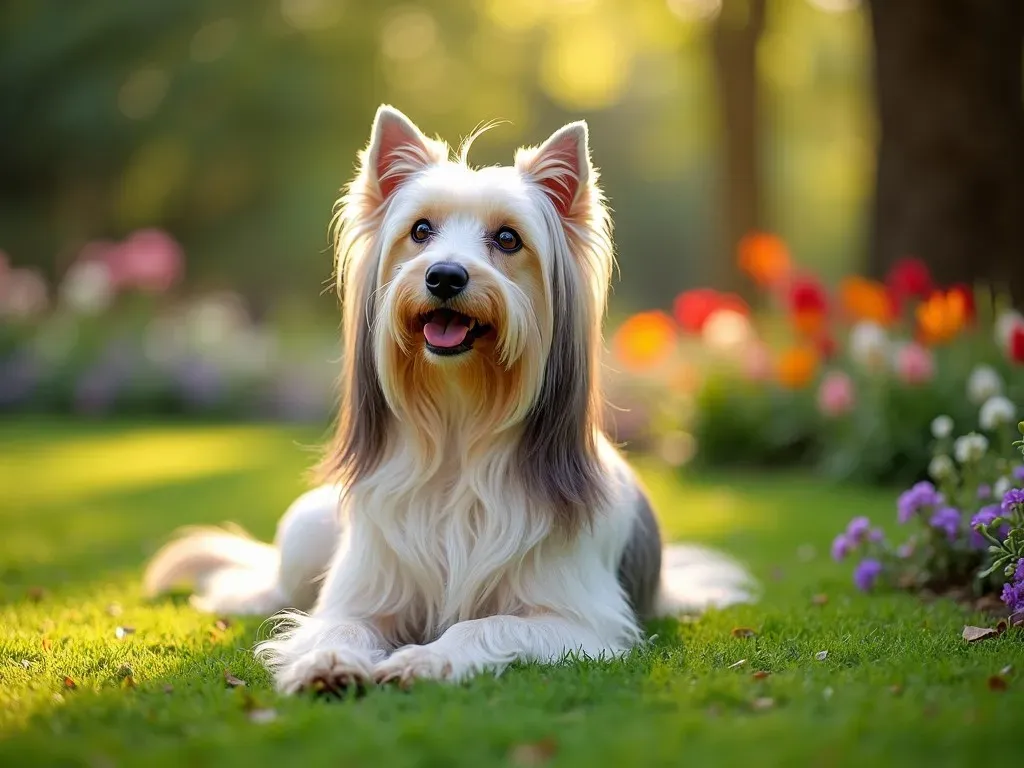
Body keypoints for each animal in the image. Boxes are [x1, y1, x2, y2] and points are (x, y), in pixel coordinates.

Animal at [142, 105, 753, 696]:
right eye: (420, 231)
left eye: (508, 239)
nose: (444, 276)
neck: (460, 423)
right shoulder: (364, 593)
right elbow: (339, 624)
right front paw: (328, 661)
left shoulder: (577, 622)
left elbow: (484, 624)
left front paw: (428, 659)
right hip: (305, 530)